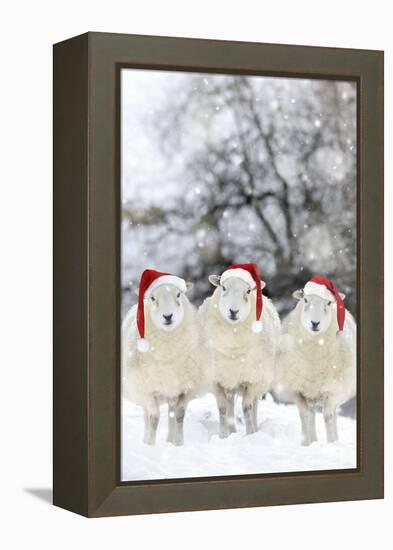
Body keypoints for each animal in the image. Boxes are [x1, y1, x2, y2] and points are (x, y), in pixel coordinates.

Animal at [121, 272, 205, 448]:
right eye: (153, 298)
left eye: (179, 294)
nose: (168, 316)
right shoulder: (147, 389)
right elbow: (153, 418)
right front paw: (150, 445)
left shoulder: (186, 388)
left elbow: (179, 415)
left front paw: (179, 444)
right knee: (147, 415)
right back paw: (146, 440)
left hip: (171, 389)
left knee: (171, 412)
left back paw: (169, 440)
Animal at [201, 268, 280, 440]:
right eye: (223, 287)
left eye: (248, 291)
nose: (233, 312)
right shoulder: (215, 379)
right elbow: (222, 407)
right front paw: (223, 435)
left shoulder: (252, 380)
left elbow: (247, 407)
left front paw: (250, 434)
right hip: (230, 379)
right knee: (230, 403)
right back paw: (232, 431)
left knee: (254, 405)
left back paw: (255, 429)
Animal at [276, 280, 356, 448]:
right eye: (306, 300)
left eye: (329, 302)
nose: (315, 323)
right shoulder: (297, 390)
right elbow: (305, 415)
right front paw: (308, 443)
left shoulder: (333, 391)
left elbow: (328, 416)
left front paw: (332, 443)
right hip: (310, 392)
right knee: (310, 414)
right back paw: (310, 440)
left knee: (332, 414)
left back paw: (335, 439)